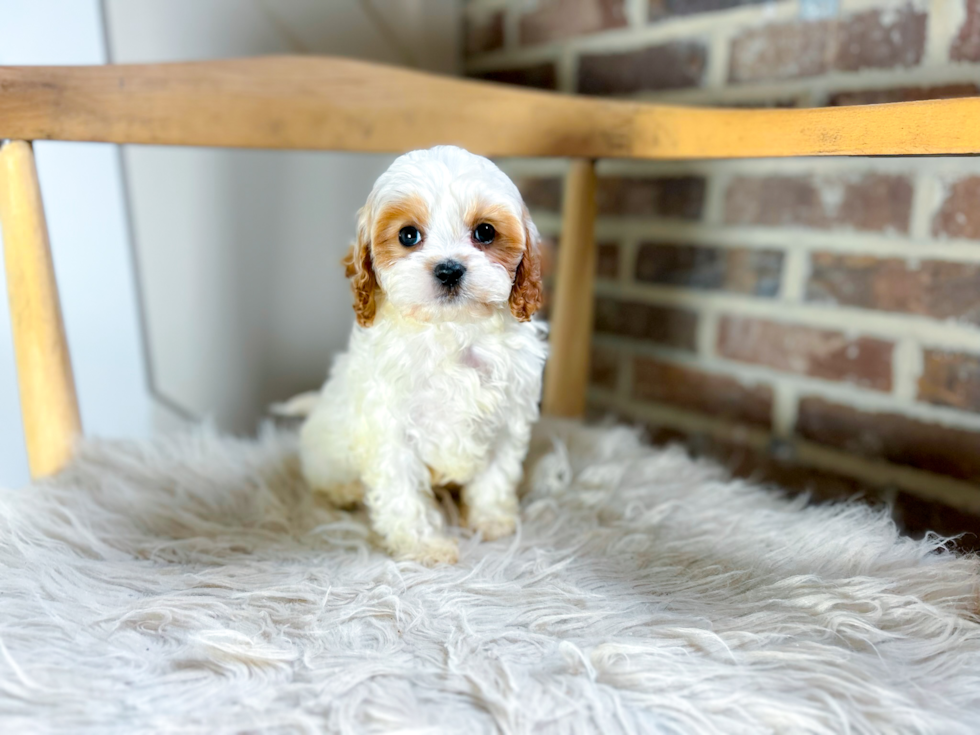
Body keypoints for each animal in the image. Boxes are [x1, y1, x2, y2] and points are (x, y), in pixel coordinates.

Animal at [300, 147, 544, 568]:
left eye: (485, 232)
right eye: (408, 235)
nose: (449, 270)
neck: (453, 332)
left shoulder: (508, 419)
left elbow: (495, 475)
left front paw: (491, 521)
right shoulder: (390, 430)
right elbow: (404, 495)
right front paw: (424, 546)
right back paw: (345, 491)